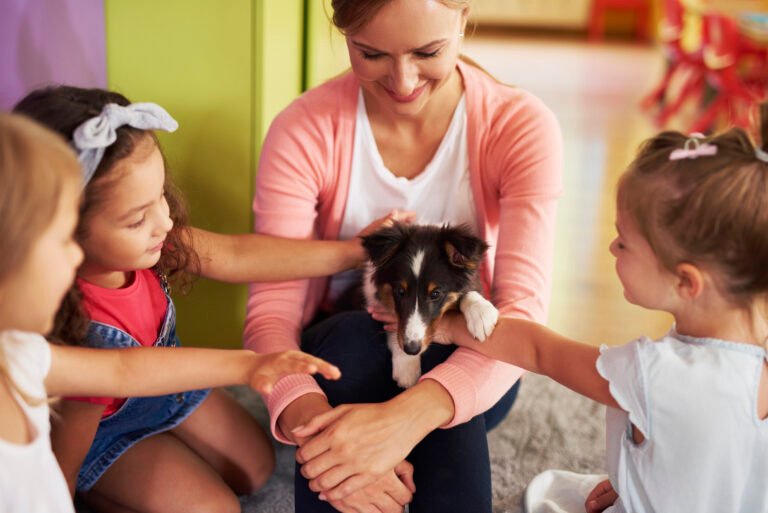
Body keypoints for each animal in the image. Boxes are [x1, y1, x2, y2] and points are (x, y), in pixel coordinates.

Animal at [360, 222, 498, 386]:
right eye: (400, 291)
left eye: (435, 294)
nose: (411, 349)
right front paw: (407, 365)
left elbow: (469, 293)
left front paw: (481, 314)